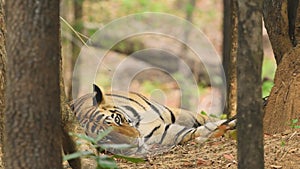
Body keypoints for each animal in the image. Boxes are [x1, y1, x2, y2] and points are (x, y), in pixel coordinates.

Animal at [69, 84, 234, 156]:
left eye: (118, 119)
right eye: (107, 139)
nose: (136, 141)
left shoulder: (173, 112)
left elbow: (204, 118)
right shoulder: (161, 133)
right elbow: (187, 132)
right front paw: (218, 129)